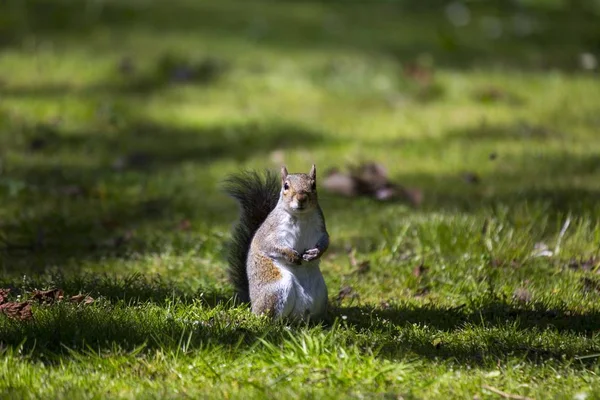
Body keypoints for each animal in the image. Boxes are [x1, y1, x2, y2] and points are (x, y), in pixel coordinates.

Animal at [224, 164, 330, 320]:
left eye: (314, 185)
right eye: (286, 186)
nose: (301, 198)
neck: (301, 216)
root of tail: (253, 304)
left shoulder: (321, 228)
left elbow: (325, 241)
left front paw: (315, 253)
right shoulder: (270, 232)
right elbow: (270, 246)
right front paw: (290, 255)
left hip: (321, 295)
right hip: (277, 288)